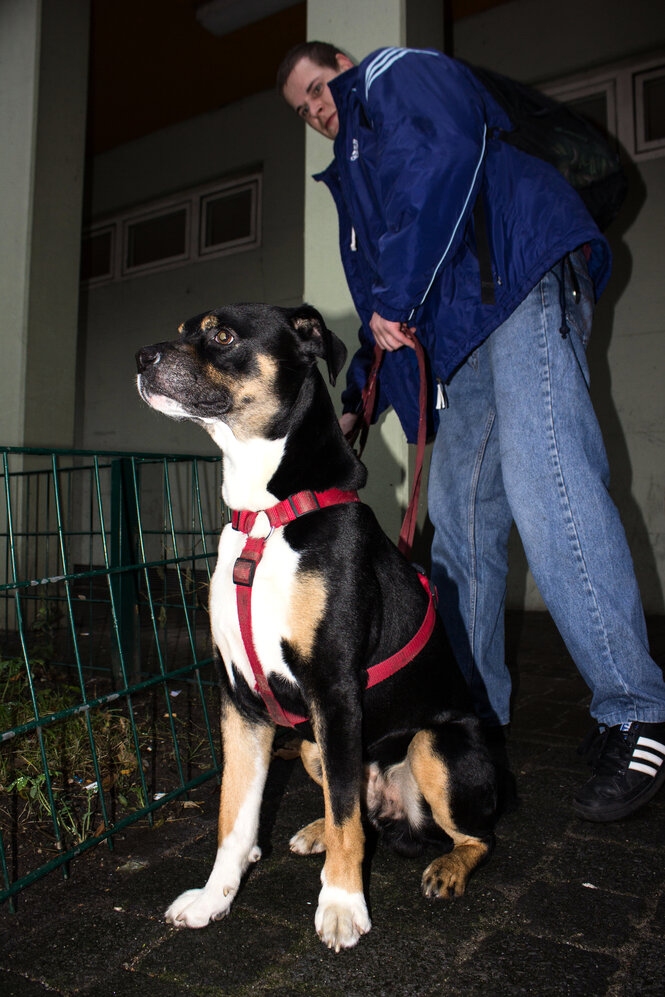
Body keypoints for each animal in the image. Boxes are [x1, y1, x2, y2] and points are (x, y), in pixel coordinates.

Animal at [135, 302, 496, 948]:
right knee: (354, 809)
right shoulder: (241, 703)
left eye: (222, 335)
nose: (141, 358)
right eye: (181, 332)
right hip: (308, 746)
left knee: (470, 834)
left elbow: (347, 816)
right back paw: (316, 834)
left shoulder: (334, 691)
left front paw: (343, 905)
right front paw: (214, 897)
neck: (265, 518)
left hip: (433, 744)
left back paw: (447, 868)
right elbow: (234, 815)